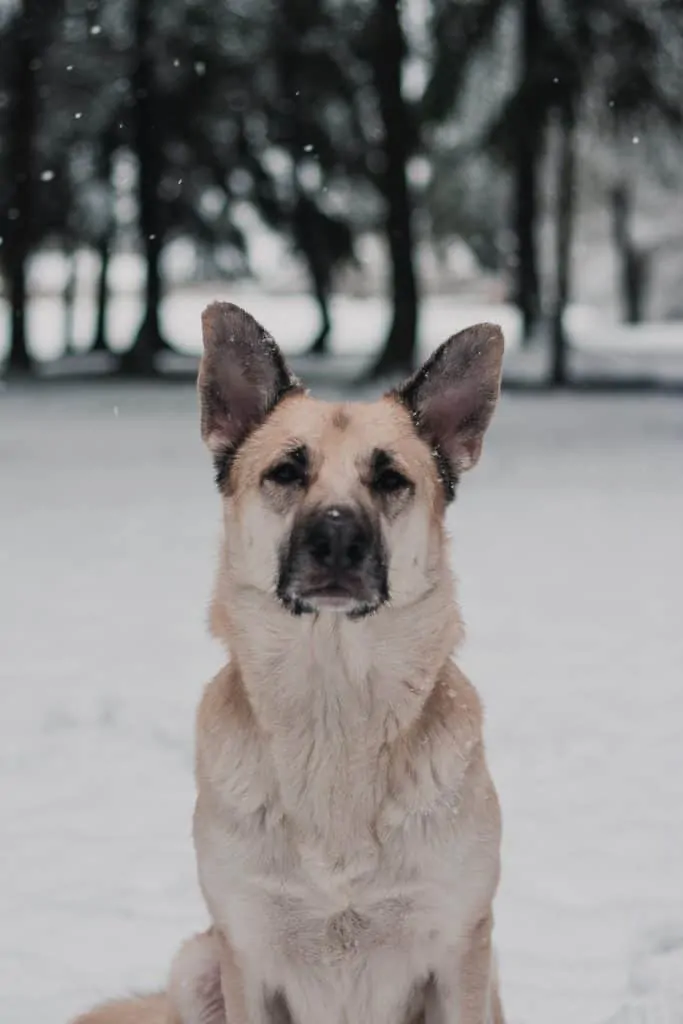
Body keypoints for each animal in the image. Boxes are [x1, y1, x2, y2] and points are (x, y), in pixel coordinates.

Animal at [74, 301, 507, 1024]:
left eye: (389, 479)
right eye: (286, 472)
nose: (335, 537)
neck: (333, 713)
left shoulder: (459, 953)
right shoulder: (246, 953)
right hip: (196, 965)